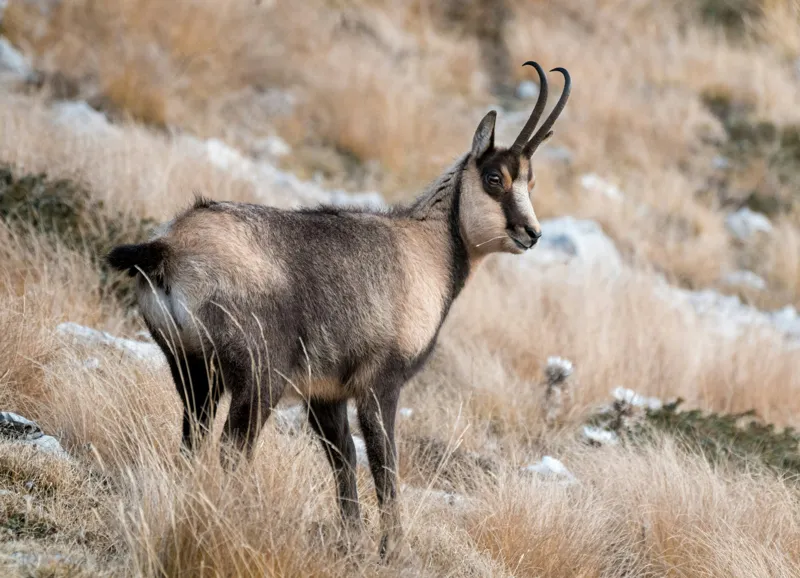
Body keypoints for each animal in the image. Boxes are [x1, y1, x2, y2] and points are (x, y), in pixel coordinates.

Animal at [106, 61, 570, 560]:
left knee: (193, 439)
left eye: (529, 181)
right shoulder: (380, 384)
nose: (531, 233)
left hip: (191, 369)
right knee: (233, 449)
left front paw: (354, 539)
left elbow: (343, 456)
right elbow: (384, 464)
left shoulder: (325, 393)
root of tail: (168, 247)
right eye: (495, 178)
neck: (427, 250)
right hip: (258, 377)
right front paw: (393, 548)